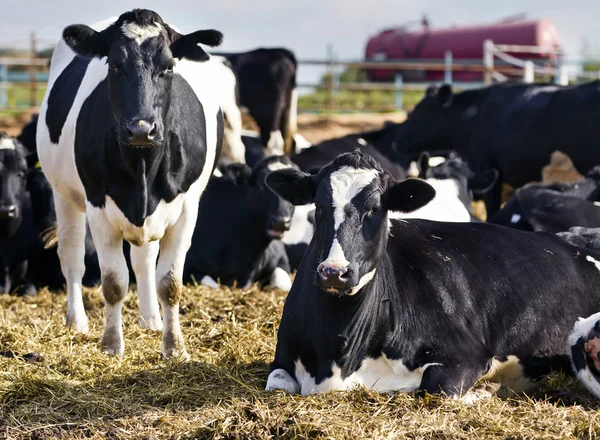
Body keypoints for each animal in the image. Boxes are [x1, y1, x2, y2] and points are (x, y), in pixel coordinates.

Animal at [37, 8, 225, 360]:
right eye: (113, 65)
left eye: (169, 67)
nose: (140, 129)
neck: (142, 168)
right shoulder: (98, 207)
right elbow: (113, 283)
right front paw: (111, 345)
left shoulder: (186, 210)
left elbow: (169, 283)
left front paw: (174, 347)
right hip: (63, 194)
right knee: (71, 256)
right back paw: (76, 321)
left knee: (144, 261)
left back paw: (151, 320)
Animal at [264, 151, 600, 398]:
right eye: (319, 205)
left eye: (376, 209)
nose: (334, 271)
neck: (335, 357)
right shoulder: (282, 358)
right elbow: (276, 382)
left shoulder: (468, 354)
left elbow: (434, 387)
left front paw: (486, 391)